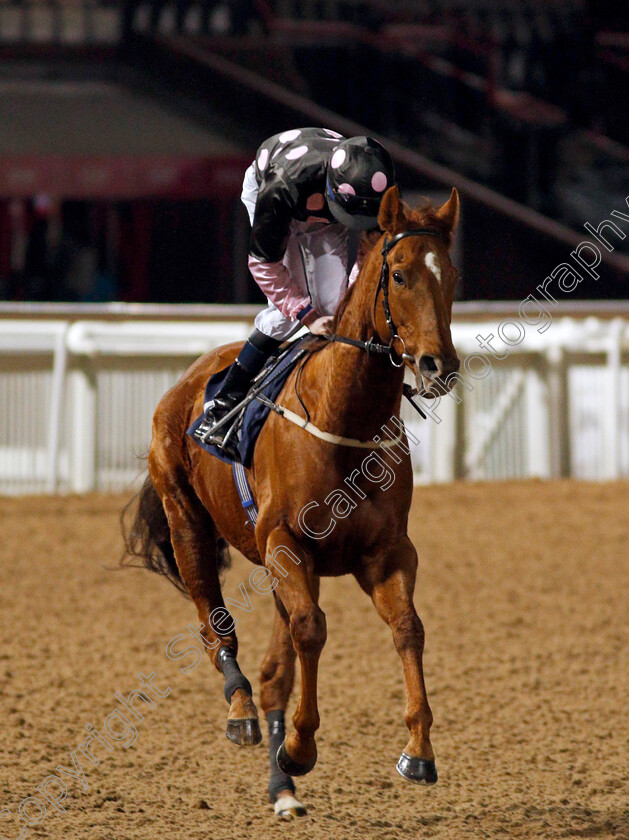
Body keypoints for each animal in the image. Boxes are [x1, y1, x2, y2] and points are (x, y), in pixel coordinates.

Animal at [125, 187, 458, 816]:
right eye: (399, 274)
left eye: (450, 275)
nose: (438, 365)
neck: (343, 419)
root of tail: (189, 379)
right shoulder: (285, 543)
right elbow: (310, 629)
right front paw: (301, 747)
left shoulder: (387, 552)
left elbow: (408, 627)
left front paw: (419, 749)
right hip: (187, 524)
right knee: (215, 625)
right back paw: (240, 710)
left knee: (273, 670)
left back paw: (282, 790)